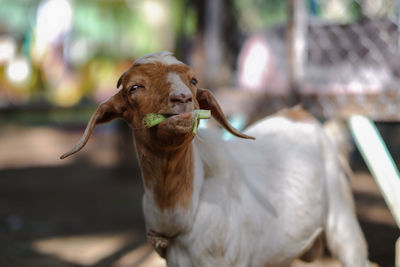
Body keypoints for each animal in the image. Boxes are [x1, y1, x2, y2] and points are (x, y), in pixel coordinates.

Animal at [61, 51, 370, 266]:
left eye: (193, 80)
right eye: (135, 87)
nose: (182, 99)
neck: (182, 209)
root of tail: (301, 115)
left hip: (343, 220)